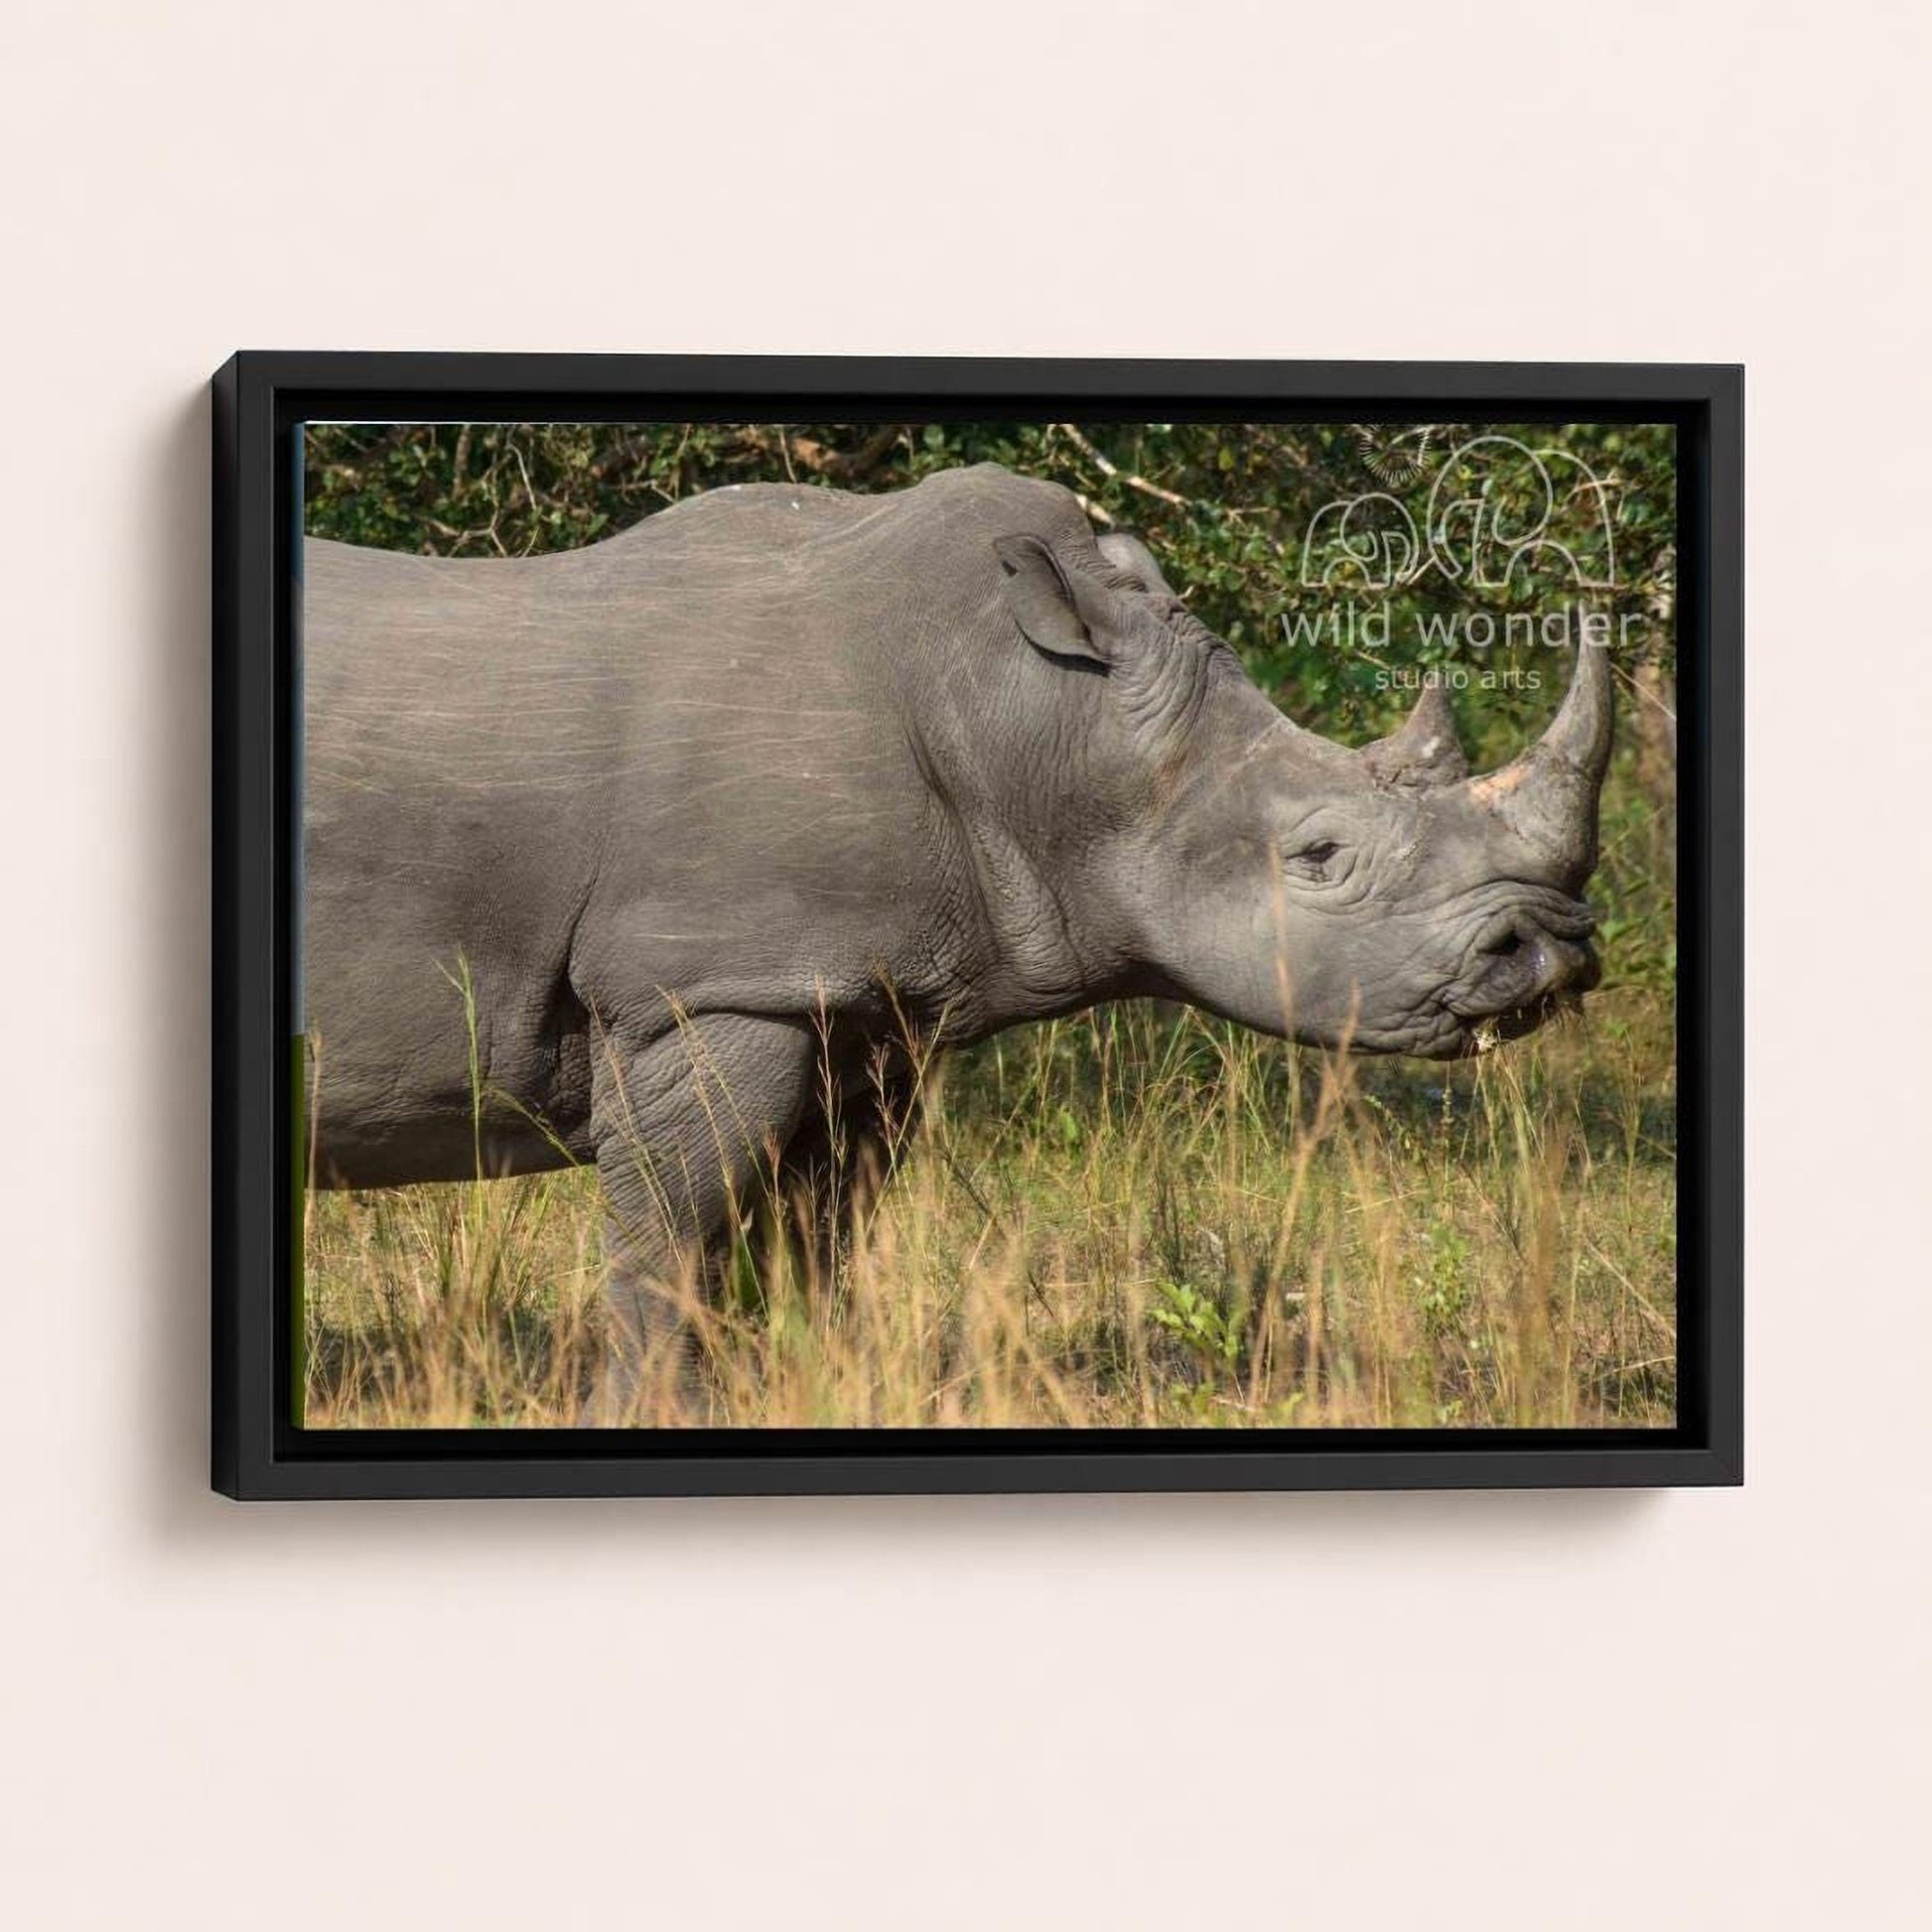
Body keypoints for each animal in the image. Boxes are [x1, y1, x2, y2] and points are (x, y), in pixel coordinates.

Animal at [304, 462, 1609, 1408]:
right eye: (1319, 855)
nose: (1548, 948)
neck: (1032, 713)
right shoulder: (710, 980)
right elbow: (670, 1234)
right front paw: (649, 1412)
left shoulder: (858, 998)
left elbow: (810, 1235)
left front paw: (799, 1388)